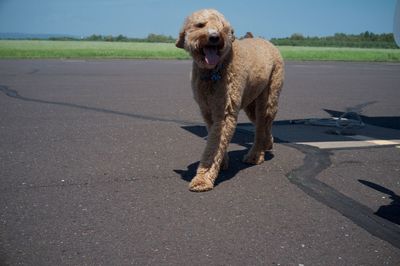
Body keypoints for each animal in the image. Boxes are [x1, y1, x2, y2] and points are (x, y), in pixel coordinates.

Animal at [176, 8, 284, 191]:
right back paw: (267, 143)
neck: (213, 72)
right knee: (262, 125)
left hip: (268, 97)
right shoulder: (207, 111)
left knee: (263, 124)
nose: (214, 36)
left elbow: (214, 147)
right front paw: (223, 162)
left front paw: (203, 179)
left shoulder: (225, 112)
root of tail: (264, 40)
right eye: (200, 25)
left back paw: (255, 155)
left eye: (223, 27)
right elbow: (215, 139)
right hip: (251, 102)